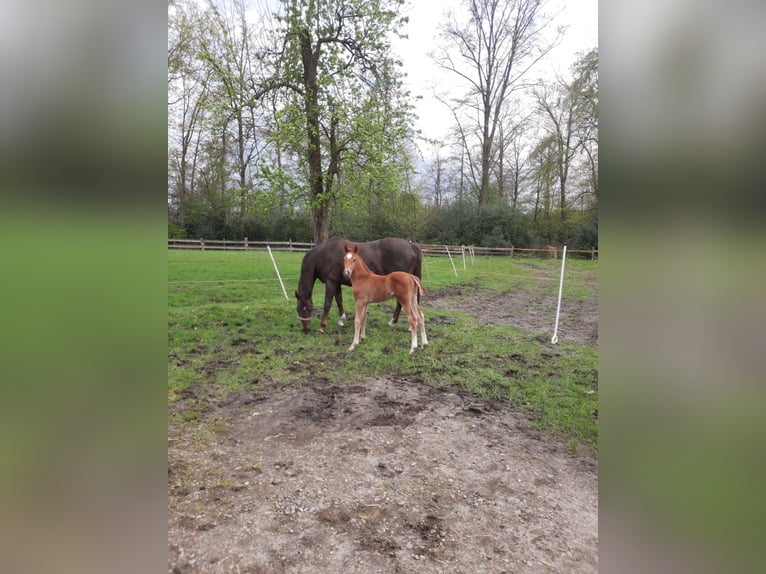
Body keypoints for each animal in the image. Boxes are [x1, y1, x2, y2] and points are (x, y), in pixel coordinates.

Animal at [296, 237, 426, 332]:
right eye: (298, 309)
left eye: (308, 308)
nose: (305, 329)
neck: (324, 255)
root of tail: (411, 245)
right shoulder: (336, 282)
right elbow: (339, 300)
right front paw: (341, 319)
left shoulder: (331, 282)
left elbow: (327, 303)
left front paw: (322, 326)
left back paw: (397, 322)